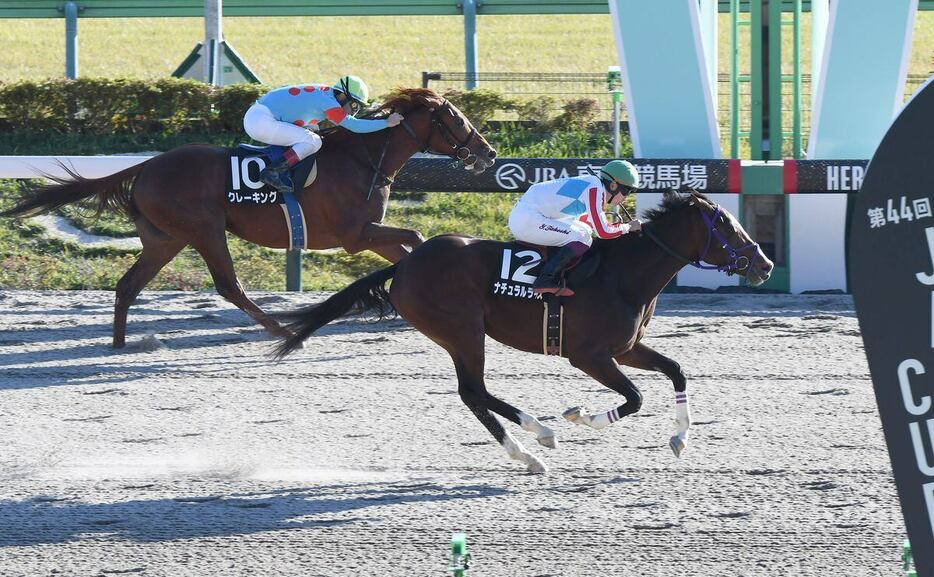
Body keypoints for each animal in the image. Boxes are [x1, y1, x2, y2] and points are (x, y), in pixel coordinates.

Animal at [0, 86, 498, 346]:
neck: (362, 158)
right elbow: (412, 235)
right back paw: (280, 328)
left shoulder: (368, 233)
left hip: (165, 239)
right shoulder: (356, 234)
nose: (489, 154)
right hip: (204, 229)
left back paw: (121, 343)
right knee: (228, 285)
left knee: (128, 285)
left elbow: (409, 246)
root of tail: (146, 166)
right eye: (457, 119)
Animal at [274, 191, 780, 470]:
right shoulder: (589, 355)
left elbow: (675, 370)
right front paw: (581, 416)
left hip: (459, 335)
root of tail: (406, 263)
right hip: (462, 331)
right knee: (473, 391)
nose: (765, 264)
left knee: (473, 393)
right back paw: (538, 439)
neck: (624, 274)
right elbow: (635, 398)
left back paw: (532, 448)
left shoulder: (626, 348)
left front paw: (679, 439)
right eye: (726, 225)